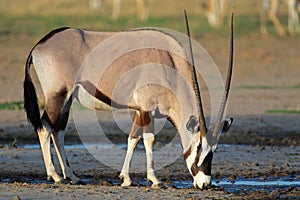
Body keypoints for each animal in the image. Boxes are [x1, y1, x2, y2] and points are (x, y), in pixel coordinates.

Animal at [23, 11, 234, 188]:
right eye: (198, 147)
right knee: (44, 128)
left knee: (58, 131)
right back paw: (55, 176)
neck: (168, 61)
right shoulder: (147, 108)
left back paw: (72, 176)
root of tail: (39, 45)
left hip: (66, 100)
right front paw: (154, 179)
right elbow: (148, 139)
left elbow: (133, 138)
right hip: (57, 96)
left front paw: (125, 178)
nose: (205, 183)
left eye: (214, 149)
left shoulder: (139, 110)